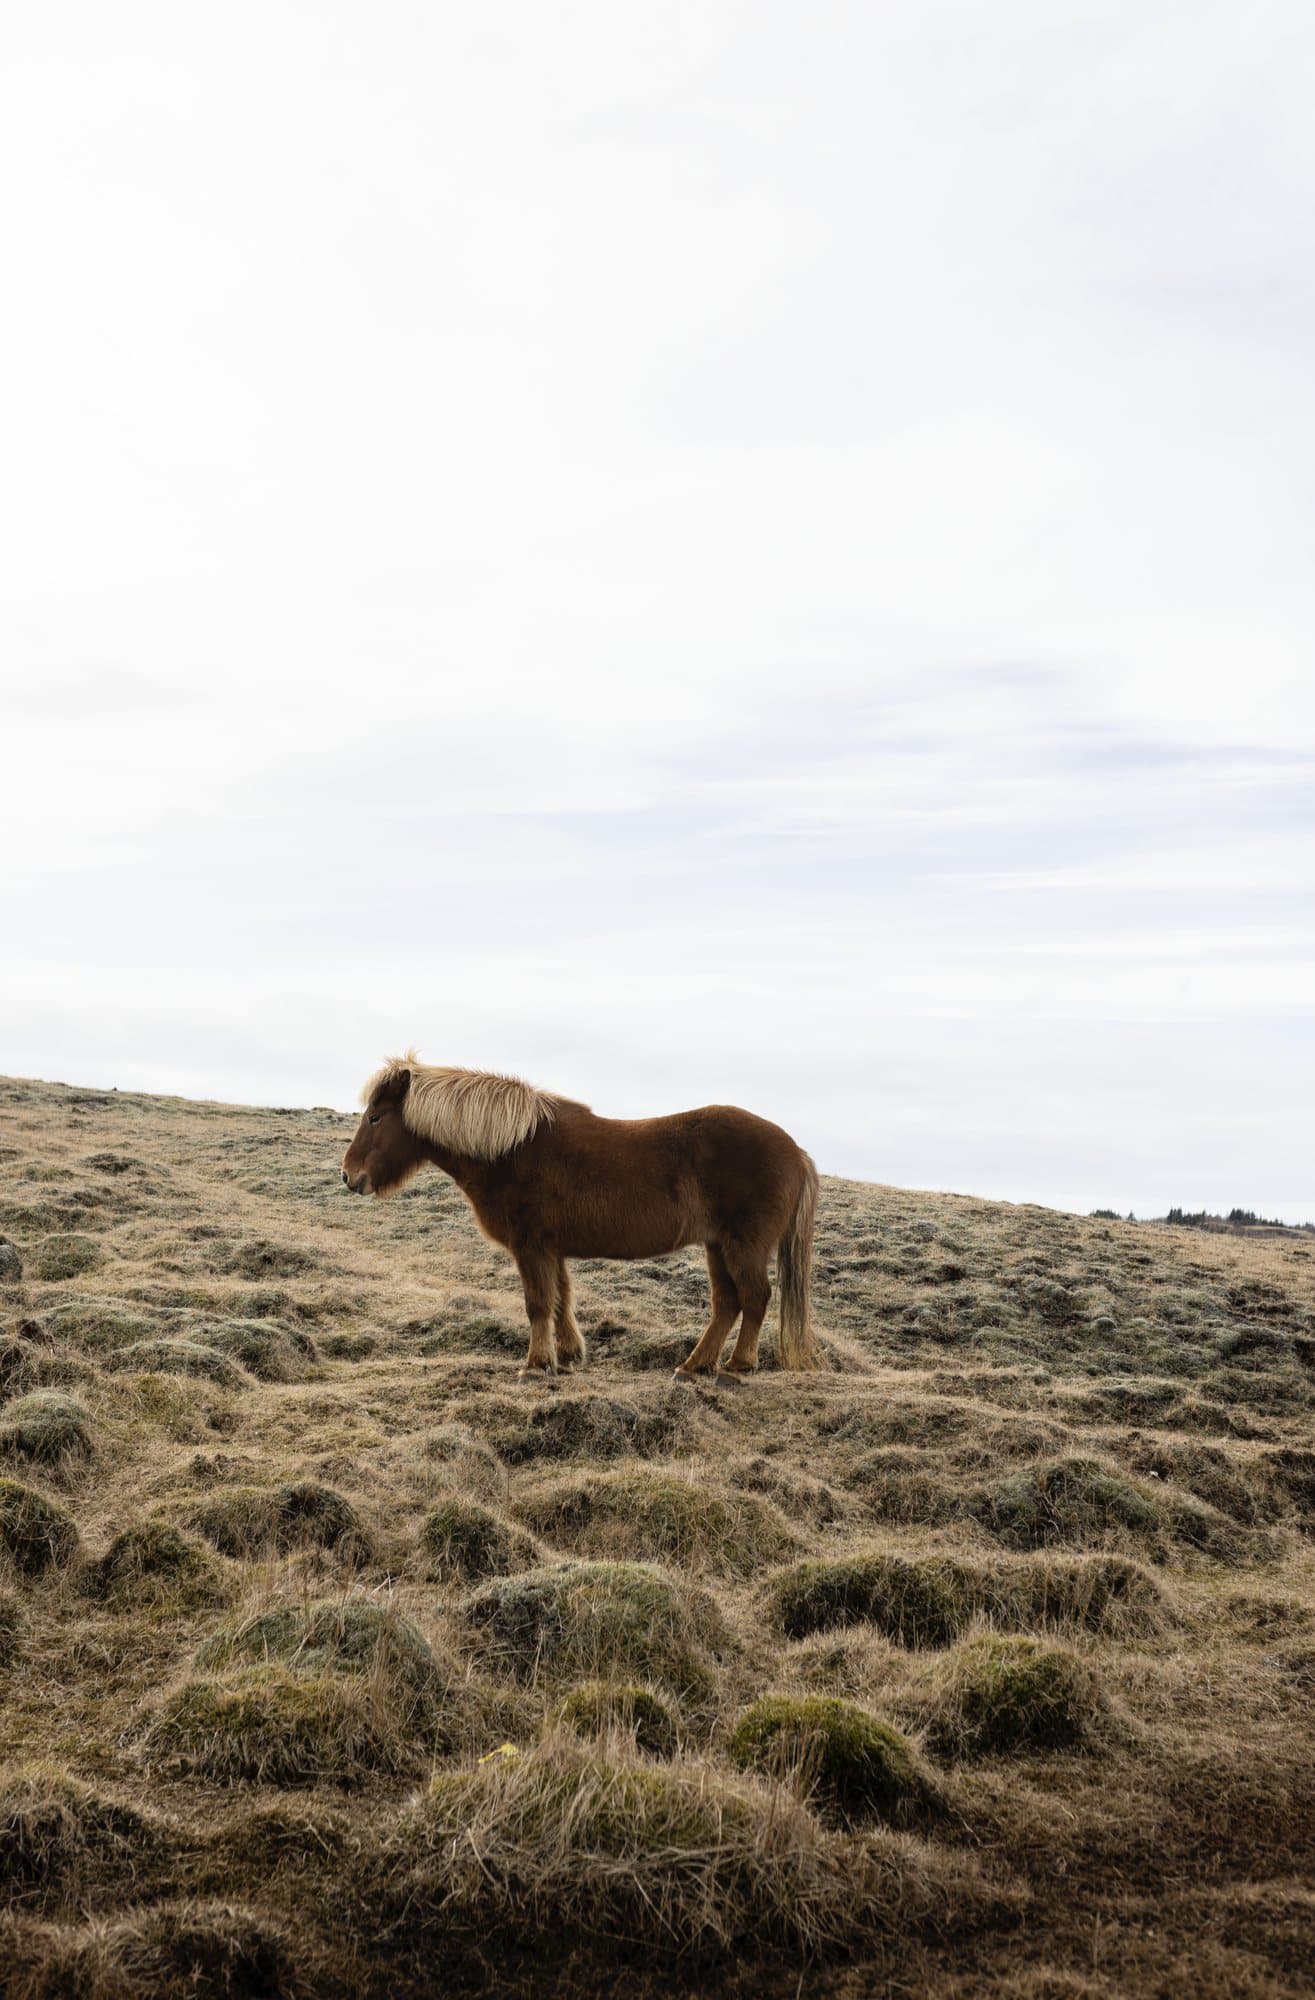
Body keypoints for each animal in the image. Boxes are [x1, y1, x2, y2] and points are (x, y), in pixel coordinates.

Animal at [341, 1054, 819, 1379]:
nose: (349, 1176)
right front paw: (568, 1356)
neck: (510, 1150)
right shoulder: (550, 1248)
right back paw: (693, 1367)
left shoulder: (530, 1245)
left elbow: (537, 1302)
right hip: (718, 1245)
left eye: (376, 1117)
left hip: (743, 1245)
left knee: (754, 1298)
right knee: (728, 1303)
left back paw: (737, 1367)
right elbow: (560, 1299)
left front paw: (536, 1365)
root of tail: (795, 1150)